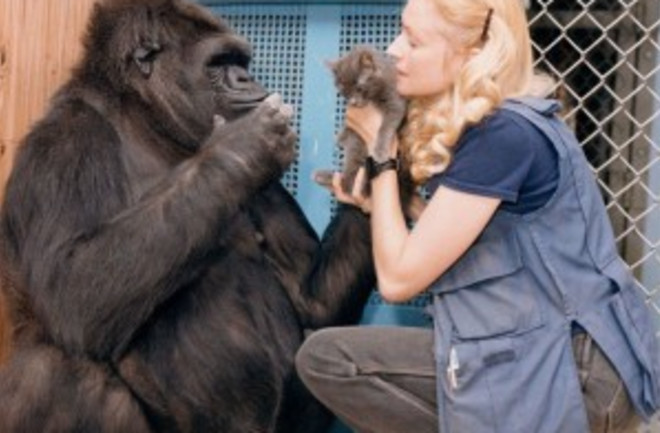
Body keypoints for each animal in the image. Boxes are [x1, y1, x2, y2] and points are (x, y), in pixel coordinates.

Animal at [0, 0, 374, 432]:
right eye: (219, 62)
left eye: (239, 61)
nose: (247, 77)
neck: (146, 120)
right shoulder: (65, 142)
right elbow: (72, 285)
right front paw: (243, 148)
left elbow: (311, 299)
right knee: (61, 368)